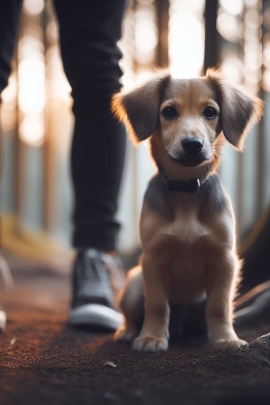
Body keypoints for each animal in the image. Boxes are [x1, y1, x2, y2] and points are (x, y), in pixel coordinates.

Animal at [112, 69, 264, 350]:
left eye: (210, 112)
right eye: (169, 112)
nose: (193, 144)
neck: (185, 191)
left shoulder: (224, 259)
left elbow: (219, 306)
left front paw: (225, 338)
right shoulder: (153, 258)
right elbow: (157, 304)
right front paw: (151, 337)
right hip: (135, 282)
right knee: (132, 312)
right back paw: (128, 330)